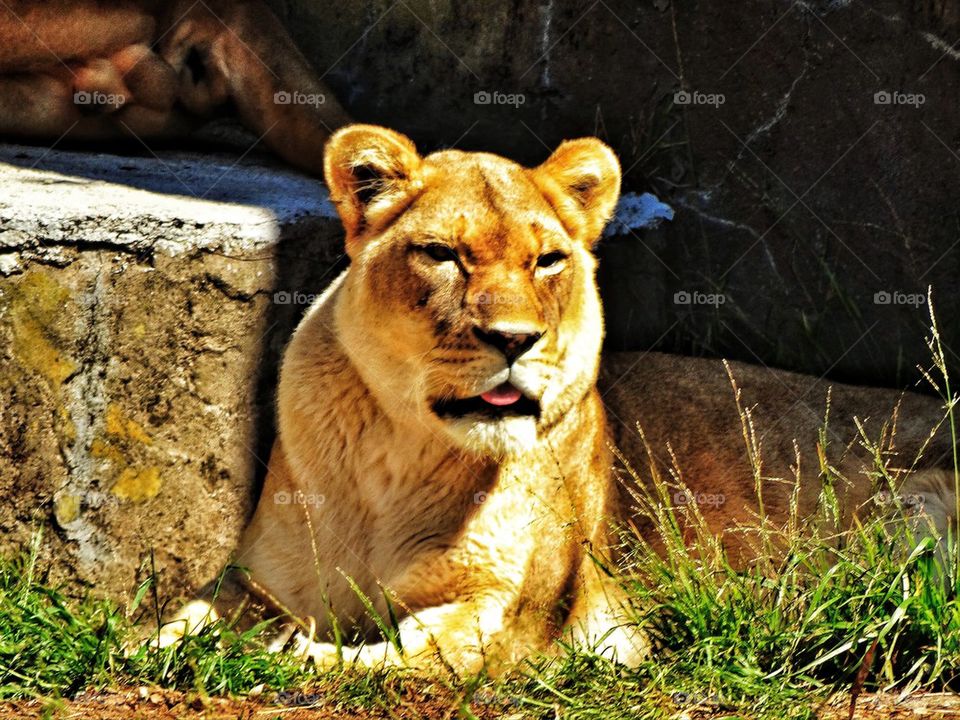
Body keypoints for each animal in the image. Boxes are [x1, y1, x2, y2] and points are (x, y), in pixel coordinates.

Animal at [160, 124, 955, 674]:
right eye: (442, 255)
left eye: (546, 260)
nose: (514, 339)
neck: (400, 462)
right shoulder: (256, 582)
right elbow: (185, 619)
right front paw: (177, 645)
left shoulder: (505, 613)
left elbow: (402, 656)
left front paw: (295, 655)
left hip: (911, 508)